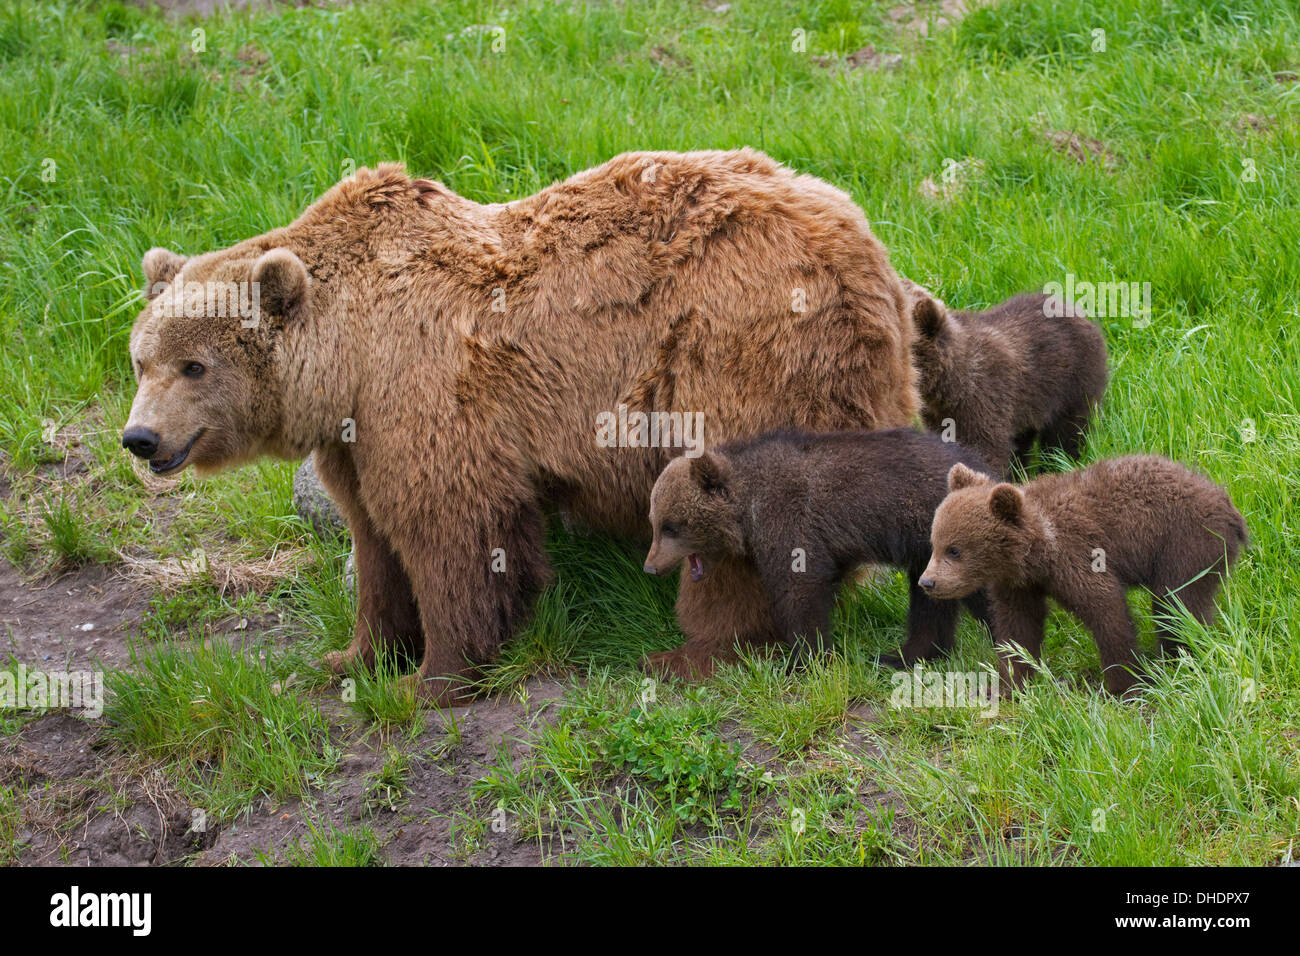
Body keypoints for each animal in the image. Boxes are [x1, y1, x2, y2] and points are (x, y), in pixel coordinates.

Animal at [121, 149, 929, 704]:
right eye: (140, 360)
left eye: (194, 366)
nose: (141, 440)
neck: (349, 353)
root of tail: (867, 256)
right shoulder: (356, 431)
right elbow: (374, 539)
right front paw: (353, 656)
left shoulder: (426, 392)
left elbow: (450, 526)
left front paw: (433, 678)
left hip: (736, 355)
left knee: (731, 519)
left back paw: (692, 653)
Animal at [640, 428, 995, 678]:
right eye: (654, 522)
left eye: (671, 527)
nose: (650, 566)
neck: (747, 507)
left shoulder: (790, 522)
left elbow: (800, 591)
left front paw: (802, 661)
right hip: (930, 557)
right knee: (929, 604)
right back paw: (902, 655)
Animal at [920, 458, 1247, 696]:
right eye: (934, 543)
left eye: (955, 550)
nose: (927, 582)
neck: (1038, 551)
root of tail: (1230, 506)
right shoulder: (1019, 586)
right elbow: (1018, 628)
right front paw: (1006, 686)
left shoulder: (1079, 556)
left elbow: (1106, 609)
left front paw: (1123, 683)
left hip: (1185, 543)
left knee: (1178, 604)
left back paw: (1178, 658)